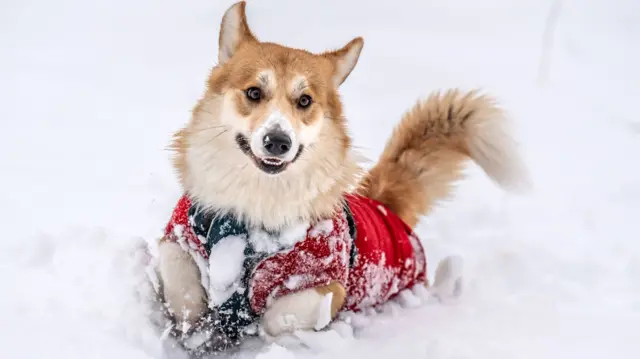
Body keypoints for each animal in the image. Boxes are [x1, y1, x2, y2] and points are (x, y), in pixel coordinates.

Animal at [154, 0, 524, 354]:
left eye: (305, 100)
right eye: (254, 93)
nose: (278, 142)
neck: (253, 210)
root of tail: (386, 205)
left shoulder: (323, 284)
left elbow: (277, 317)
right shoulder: (179, 238)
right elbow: (180, 284)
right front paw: (196, 328)